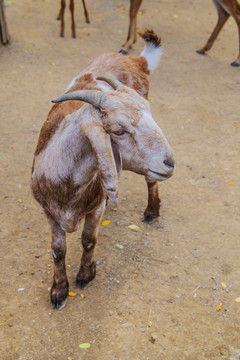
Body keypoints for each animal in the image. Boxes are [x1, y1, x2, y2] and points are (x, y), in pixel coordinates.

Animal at [31, 29, 174, 310]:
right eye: (118, 131)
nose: (170, 162)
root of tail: (135, 59)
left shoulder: (95, 208)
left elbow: (89, 240)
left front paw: (86, 275)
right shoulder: (48, 212)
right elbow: (57, 251)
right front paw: (59, 291)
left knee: (151, 181)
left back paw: (152, 211)